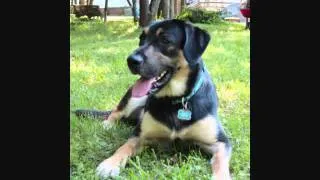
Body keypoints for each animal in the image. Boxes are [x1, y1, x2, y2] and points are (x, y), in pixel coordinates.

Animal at [75, 19, 232, 179]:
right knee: (116, 111)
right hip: (132, 99)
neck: (174, 100)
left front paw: (221, 176)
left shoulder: (221, 142)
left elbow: (220, 161)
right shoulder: (139, 136)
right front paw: (110, 163)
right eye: (141, 39)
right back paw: (108, 123)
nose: (130, 60)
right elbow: (124, 147)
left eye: (165, 40)